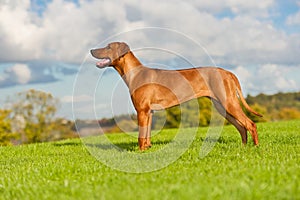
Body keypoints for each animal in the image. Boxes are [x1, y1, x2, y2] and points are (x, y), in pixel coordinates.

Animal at [90, 41, 262, 150]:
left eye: (108, 47)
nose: (91, 50)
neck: (134, 73)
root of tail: (228, 72)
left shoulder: (142, 111)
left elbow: (140, 136)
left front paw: (140, 151)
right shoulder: (149, 112)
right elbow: (147, 135)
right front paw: (147, 148)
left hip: (228, 103)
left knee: (250, 124)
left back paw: (256, 147)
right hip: (222, 106)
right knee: (242, 127)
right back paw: (243, 147)